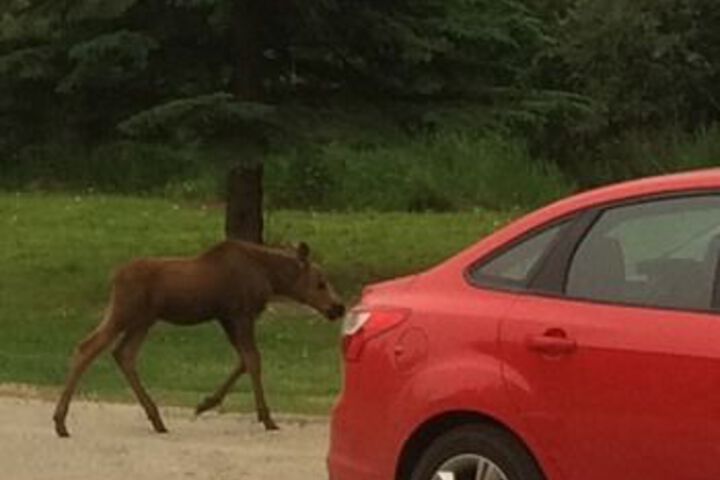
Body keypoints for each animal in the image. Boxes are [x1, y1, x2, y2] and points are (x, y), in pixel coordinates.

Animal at [52, 240, 345, 437]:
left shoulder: (227, 318)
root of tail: (115, 278)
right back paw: (61, 422)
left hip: (142, 319)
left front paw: (206, 403)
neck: (272, 280)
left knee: (122, 353)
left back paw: (156, 418)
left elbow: (243, 361)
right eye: (320, 282)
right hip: (127, 313)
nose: (338, 307)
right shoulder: (239, 314)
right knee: (89, 348)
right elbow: (253, 360)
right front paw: (267, 417)